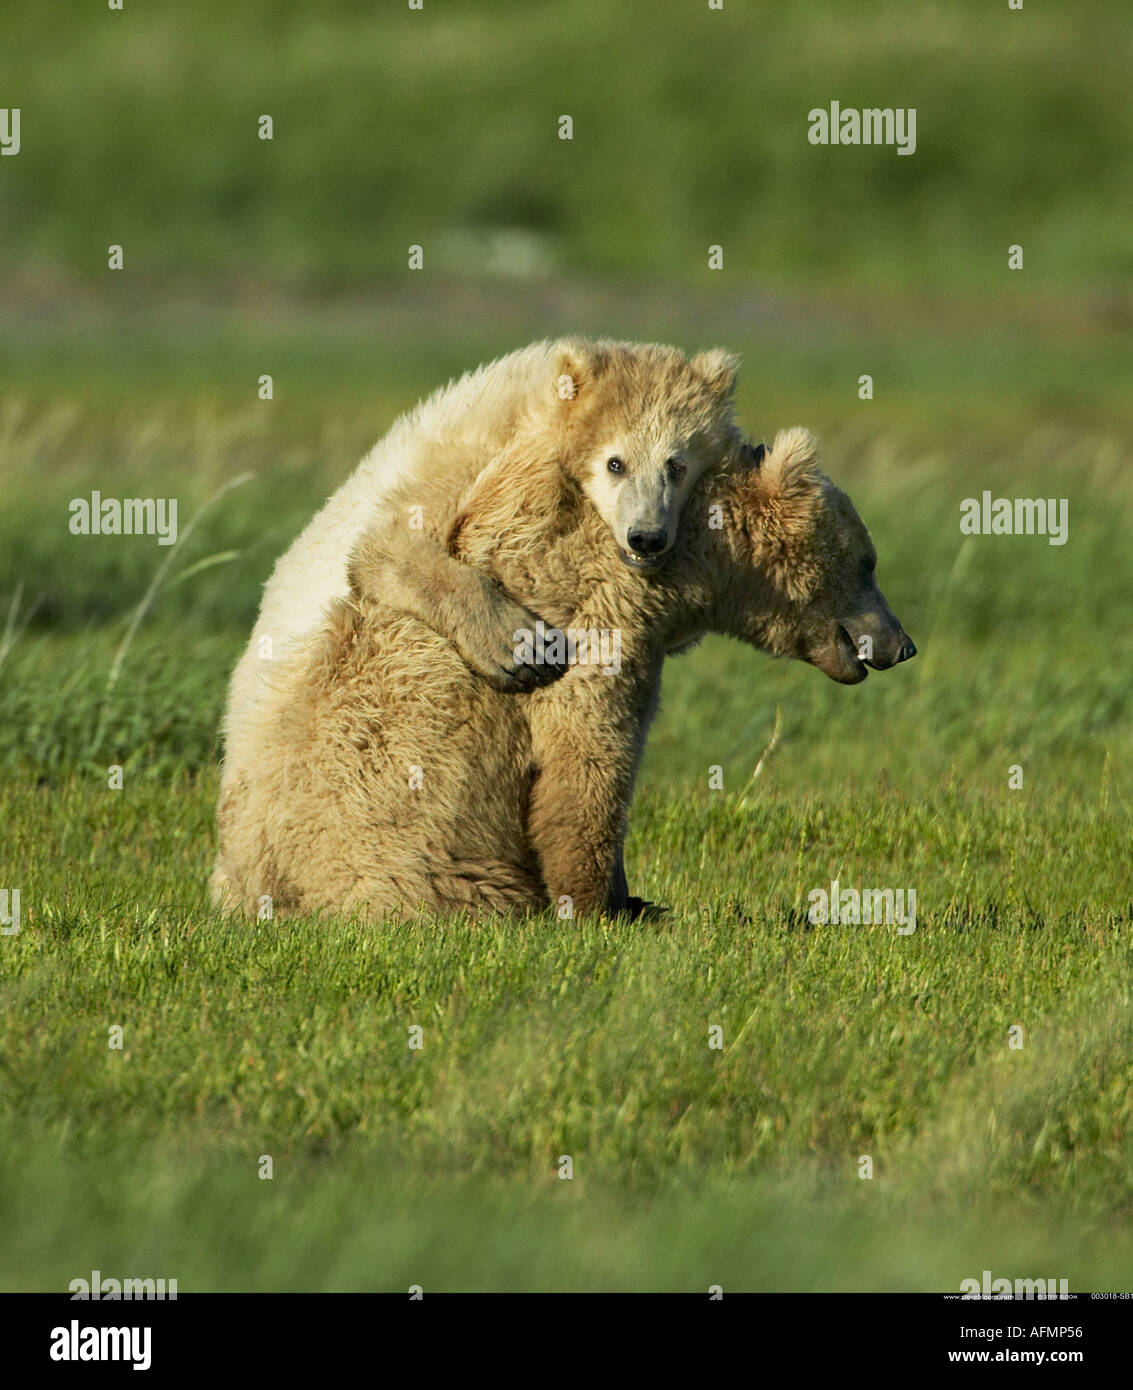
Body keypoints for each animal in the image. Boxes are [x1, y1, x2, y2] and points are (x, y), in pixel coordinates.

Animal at [211, 426, 915, 920]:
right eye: (870, 561)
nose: (902, 644)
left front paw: (634, 898)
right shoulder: (589, 622)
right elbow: (586, 765)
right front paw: (602, 906)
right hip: (411, 864)